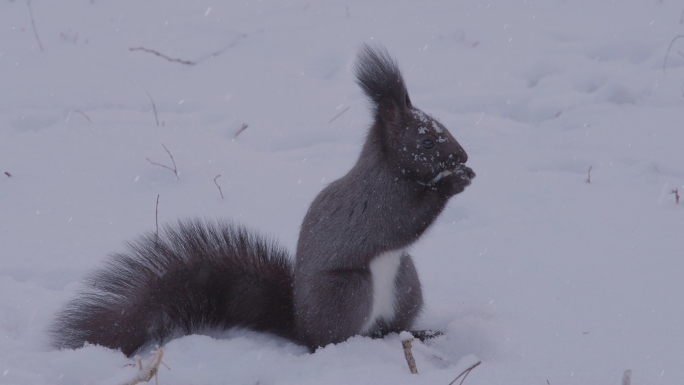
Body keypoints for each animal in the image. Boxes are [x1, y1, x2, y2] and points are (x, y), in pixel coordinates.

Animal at [49, 43, 476, 356]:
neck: (389, 169)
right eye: (427, 141)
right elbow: (408, 219)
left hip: (407, 284)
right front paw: (453, 183)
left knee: (394, 326)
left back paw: (419, 336)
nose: (464, 156)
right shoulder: (380, 203)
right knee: (334, 338)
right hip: (348, 290)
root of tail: (301, 325)